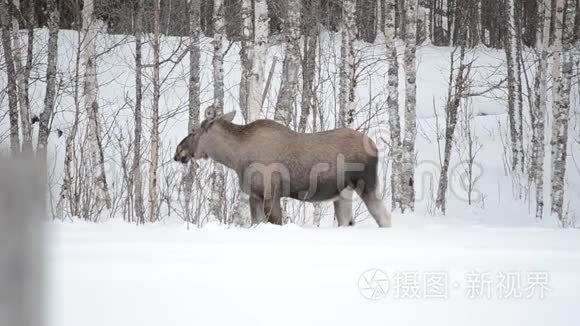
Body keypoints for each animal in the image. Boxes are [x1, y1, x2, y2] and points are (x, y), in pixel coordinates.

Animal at [174, 107, 392, 227]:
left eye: (193, 131)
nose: (179, 152)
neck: (235, 158)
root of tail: (375, 147)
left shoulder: (272, 194)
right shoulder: (255, 195)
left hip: (366, 184)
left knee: (384, 218)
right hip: (343, 193)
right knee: (347, 221)